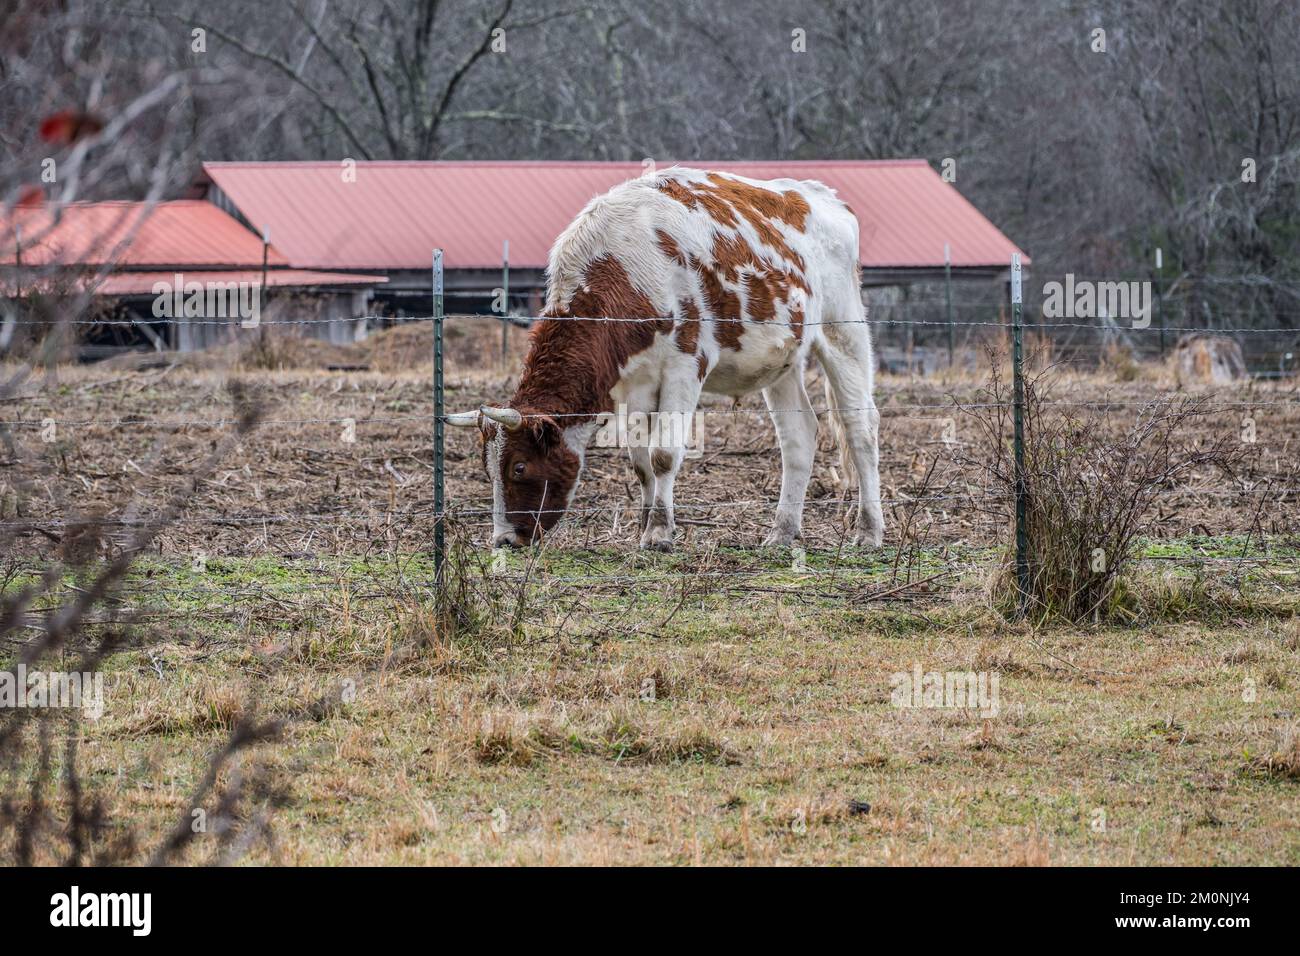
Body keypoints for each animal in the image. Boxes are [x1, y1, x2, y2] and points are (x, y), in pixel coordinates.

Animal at [447, 167, 883, 548]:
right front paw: (646, 525)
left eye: (519, 467)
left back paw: (869, 531)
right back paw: (782, 532)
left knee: (860, 428)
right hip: (783, 360)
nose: (504, 539)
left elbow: (662, 454)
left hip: (843, 334)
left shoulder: (685, 366)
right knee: (798, 437)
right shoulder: (633, 381)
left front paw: (658, 532)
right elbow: (641, 461)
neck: (623, 267)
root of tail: (823, 197)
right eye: (486, 468)